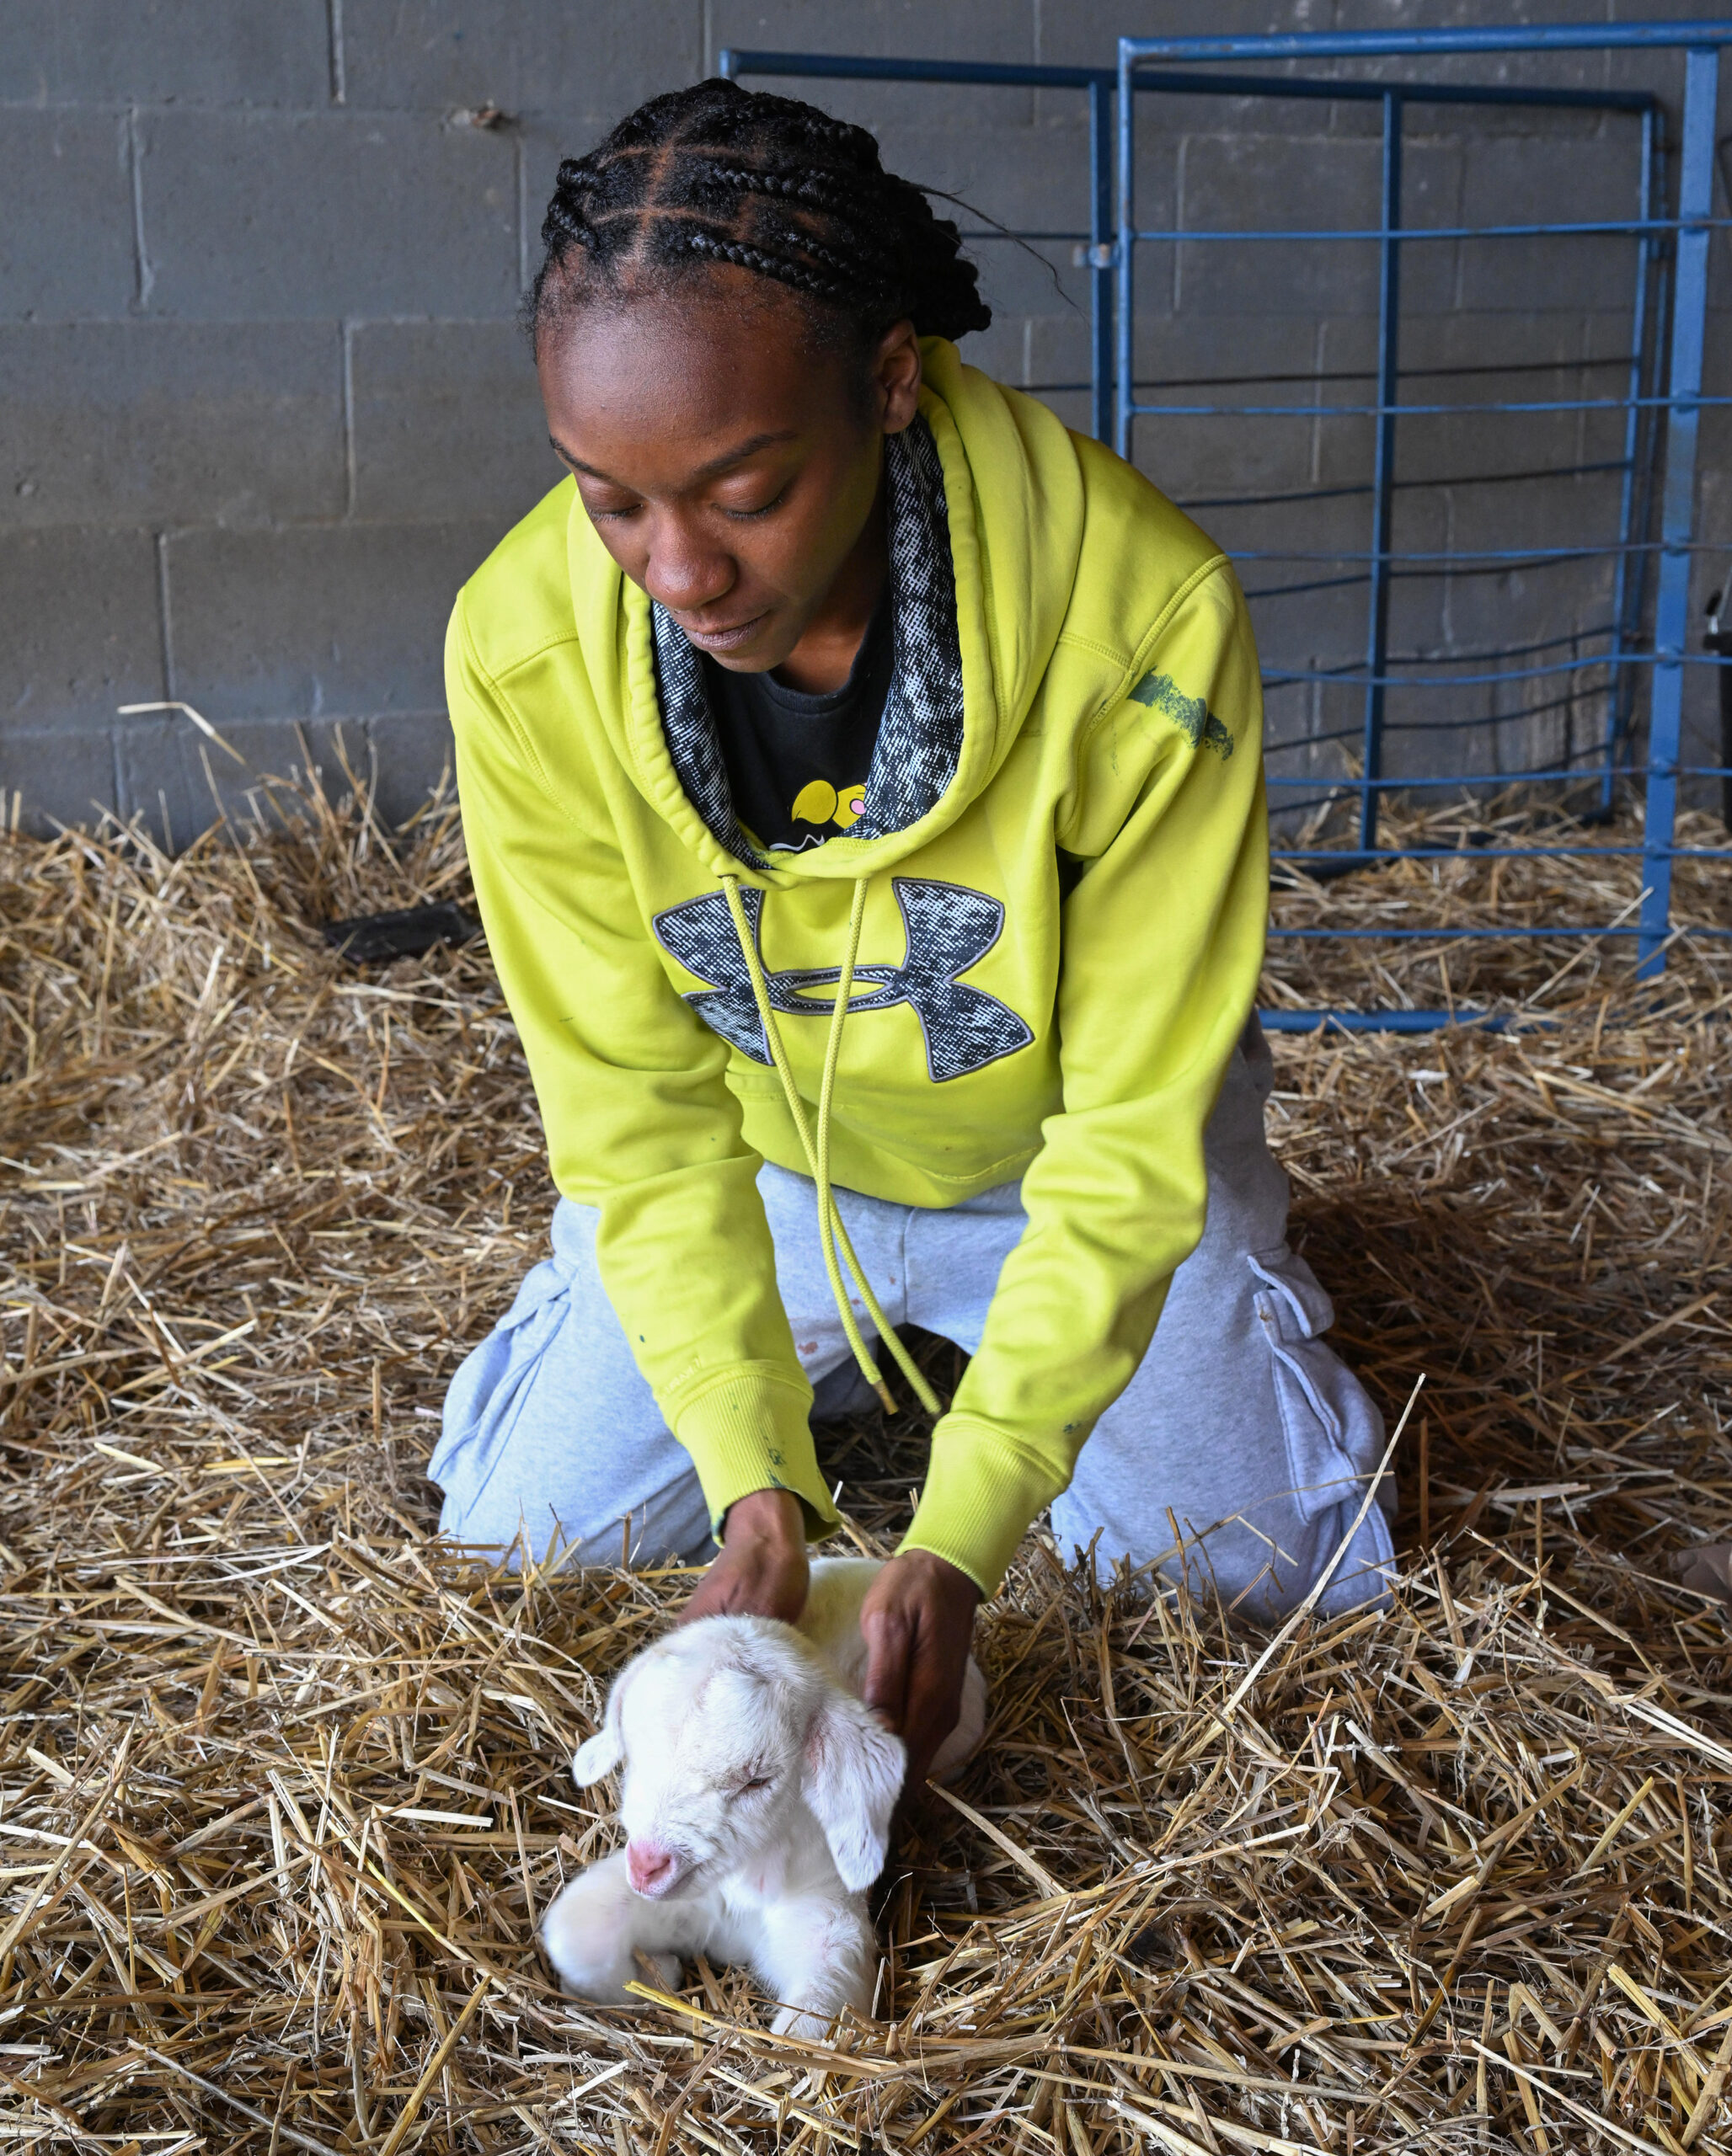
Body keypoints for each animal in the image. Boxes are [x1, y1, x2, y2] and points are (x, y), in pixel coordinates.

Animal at [541, 1556, 988, 2039]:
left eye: (757, 1781)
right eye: (634, 1753)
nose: (646, 1866)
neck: (744, 1888)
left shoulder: (827, 1915)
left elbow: (813, 2024)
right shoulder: (690, 1901)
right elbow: (575, 1932)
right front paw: (656, 1976)